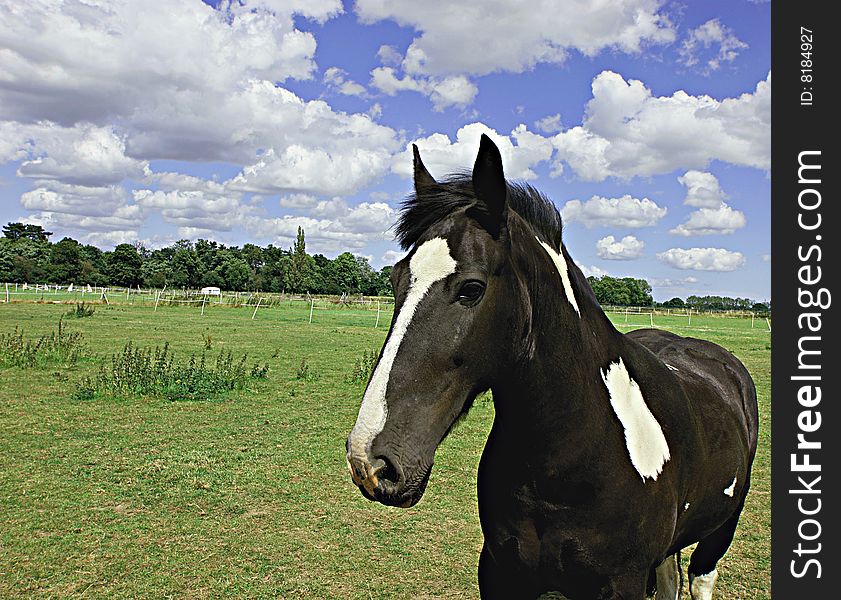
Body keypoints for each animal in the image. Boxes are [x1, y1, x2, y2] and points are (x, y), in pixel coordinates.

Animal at [344, 136, 756, 600]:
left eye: (471, 289)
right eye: (397, 279)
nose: (370, 461)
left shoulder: (623, 582)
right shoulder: (502, 573)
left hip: (721, 529)